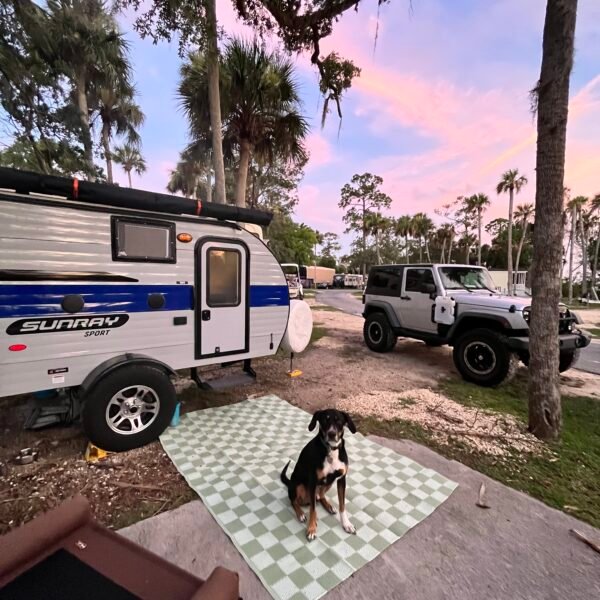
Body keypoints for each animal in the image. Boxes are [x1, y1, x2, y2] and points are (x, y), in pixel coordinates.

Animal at [282, 410, 356, 540]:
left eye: (339, 421)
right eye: (325, 420)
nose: (332, 434)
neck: (331, 449)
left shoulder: (341, 479)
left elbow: (342, 505)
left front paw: (346, 524)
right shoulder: (313, 482)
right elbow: (313, 509)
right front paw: (311, 528)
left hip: (329, 482)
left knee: (320, 496)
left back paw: (328, 506)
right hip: (297, 485)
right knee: (294, 501)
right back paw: (300, 514)